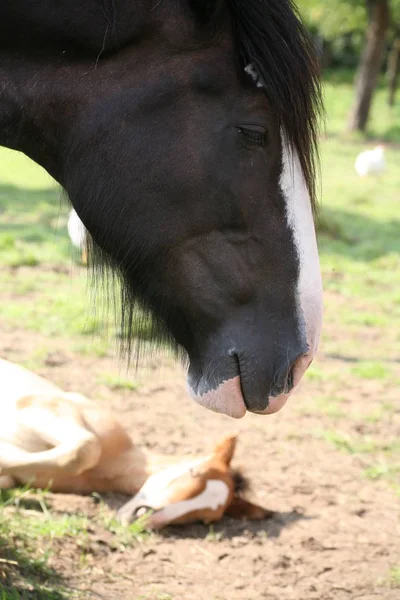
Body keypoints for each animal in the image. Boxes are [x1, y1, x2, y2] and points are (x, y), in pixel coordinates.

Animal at [0, 358, 272, 528]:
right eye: (194, 471)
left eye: (202, 519)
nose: (141, 517)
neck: (109, 465)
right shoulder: (37, 405)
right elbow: (86, 448)